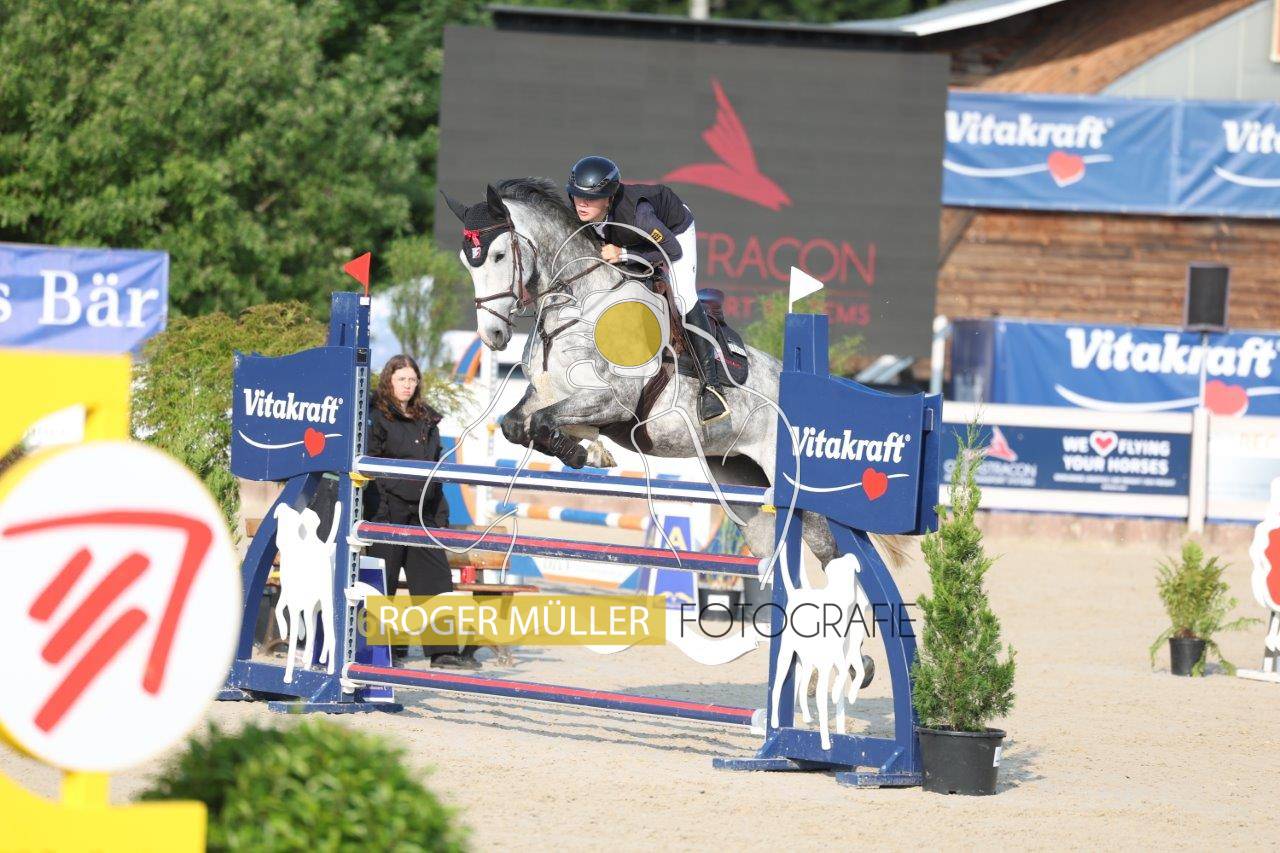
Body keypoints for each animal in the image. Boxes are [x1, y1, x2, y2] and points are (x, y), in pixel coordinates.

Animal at [440, 178, 908, 572]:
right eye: (467, 261)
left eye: (499, 255)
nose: (493, 335)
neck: (578, 304)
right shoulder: (545, 395)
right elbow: (517, 424)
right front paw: (585, 451)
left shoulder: (615, 401)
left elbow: (540, 422)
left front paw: (583, 452)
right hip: (741, 483)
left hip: (793, 488)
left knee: (832, 552)